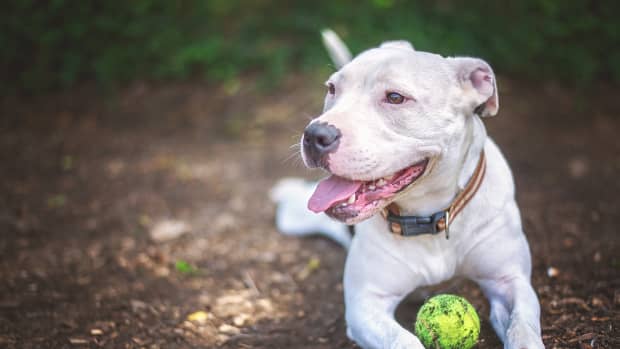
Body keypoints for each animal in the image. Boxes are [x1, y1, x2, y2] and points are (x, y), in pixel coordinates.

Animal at [272, 30, 544, 348]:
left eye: (395, 97)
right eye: (332, 89)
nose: (315, 134)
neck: (431, 216)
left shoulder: (510, 281)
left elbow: (523, 327)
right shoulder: (365, 305)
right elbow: (403, 341)